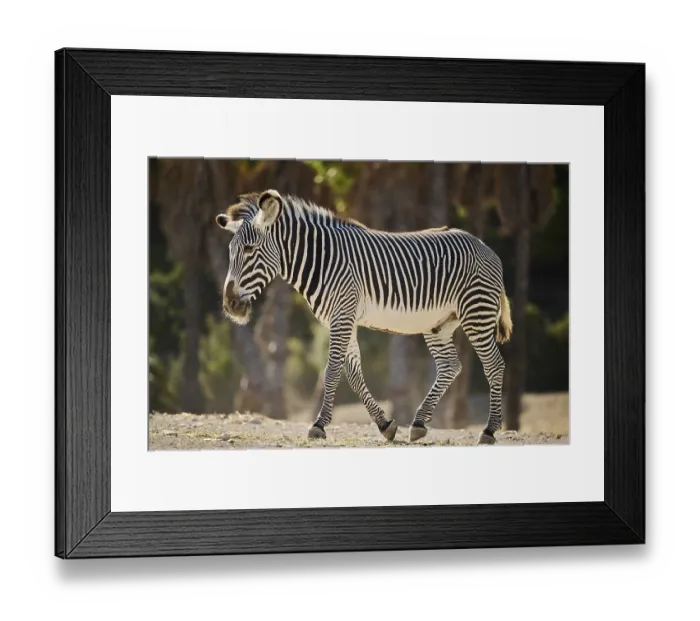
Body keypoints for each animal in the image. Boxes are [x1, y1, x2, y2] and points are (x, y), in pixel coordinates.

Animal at [216, 189, 513, 445]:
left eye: (250, 249)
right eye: (230, 251)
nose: (230, 305)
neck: (322, 260)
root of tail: (486, 247)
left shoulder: (342, 315)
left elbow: (332, 370)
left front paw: (319, 425)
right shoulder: (342, 318)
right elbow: (353, 373)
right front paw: (385, 425)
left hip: (476, 312)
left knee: (494, 365)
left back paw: (488, 430)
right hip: (439, 324)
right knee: (451, 366)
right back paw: (418, 424)